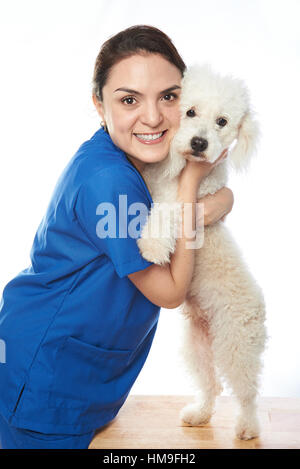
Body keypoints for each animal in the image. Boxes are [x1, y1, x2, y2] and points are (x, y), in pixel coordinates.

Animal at [138, 63, 268, 438]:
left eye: (222, 121)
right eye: (190, 112)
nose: (199, 143)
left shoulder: (185, 203)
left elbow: (164, 213)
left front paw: (152, 246)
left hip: (237, 345)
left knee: (246, 392)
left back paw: (247, 428)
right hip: (198, 347)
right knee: (212, 385)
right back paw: (199, 414)